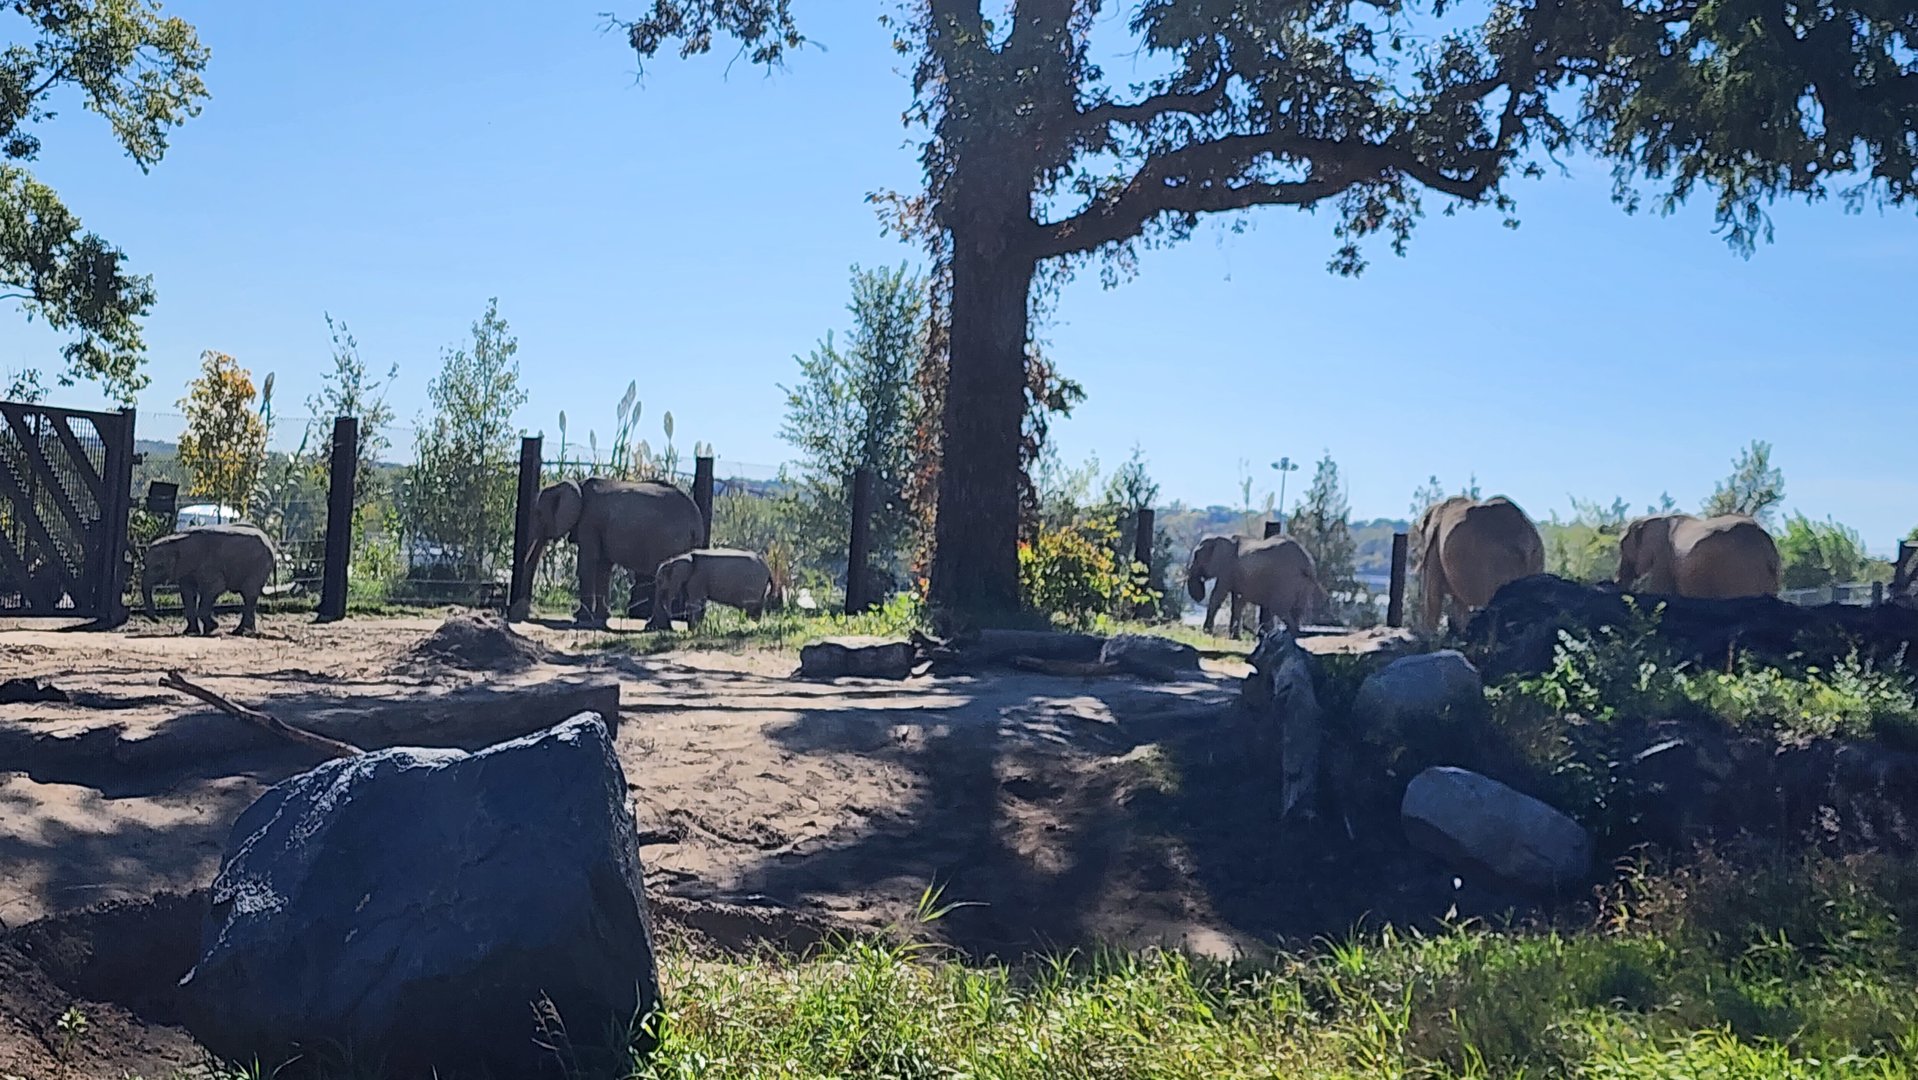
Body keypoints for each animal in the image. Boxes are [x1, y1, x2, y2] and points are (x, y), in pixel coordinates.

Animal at [141, 524, 276, 636]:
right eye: (145, 564)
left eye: (158, 566)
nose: (158, 620)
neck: (176, 540)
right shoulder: (186, 570)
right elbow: (187, 593)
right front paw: (190, 632)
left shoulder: (208, 566)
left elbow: (216, 587)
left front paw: (212, 628)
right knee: (248, 597)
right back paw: (243, 631)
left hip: (258, 566)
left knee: (249, 594)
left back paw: (241, 632)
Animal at [515, 477, 703, 627]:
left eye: (538, 513)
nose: (526, 613)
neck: (577, 485)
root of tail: (697, 523)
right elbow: (603, 567)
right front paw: (600, 617)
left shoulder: (589, 521)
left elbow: (588, 564)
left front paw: (580, 618)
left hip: (671, 543)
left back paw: (655, 626)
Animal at [645, 548, 773, 630]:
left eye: (661, 581)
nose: (648, 627)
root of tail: (768, 569)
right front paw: (694, 629)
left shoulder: (697, 577)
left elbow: (695, 602)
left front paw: (693, 630)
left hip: (753, 585)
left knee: (751, 608)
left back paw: (751, 626)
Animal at [1185, 534, 1328, 638]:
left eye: (1196, 556)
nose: (1199, 596)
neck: (1220, 538)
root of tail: (1306, 562)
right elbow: (1238, 602)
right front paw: (1235, 638)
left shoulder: (1226, 568)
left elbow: (1218, 596)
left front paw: (1207, 632)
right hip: (1303, 584)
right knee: (1297, 611)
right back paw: (1292, 635)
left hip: (1286, 580)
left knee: (1279, 608)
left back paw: (1290, 635)